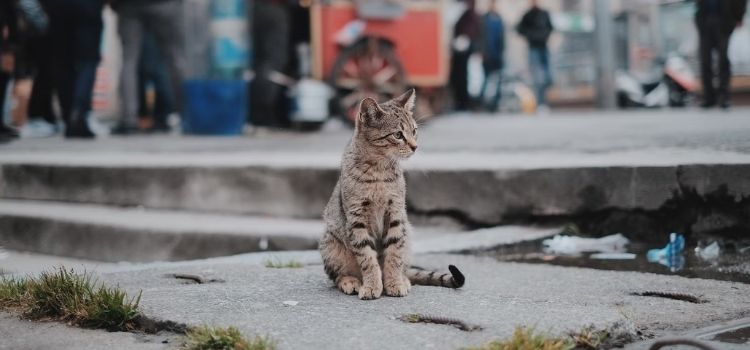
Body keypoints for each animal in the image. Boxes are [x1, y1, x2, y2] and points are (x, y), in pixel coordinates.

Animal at [320, 89, 468, 300]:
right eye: (398, 134)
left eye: (414, 131)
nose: (415, 146)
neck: (379, 171)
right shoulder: (357, 219)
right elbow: (367, 258)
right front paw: (372, 285)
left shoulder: (396, 214)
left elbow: (394, 255)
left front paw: (394, 283)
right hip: (331, 244)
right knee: (337, 275)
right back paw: (350, 281)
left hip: (408, 234)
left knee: (404, 265)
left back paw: (403, 279)